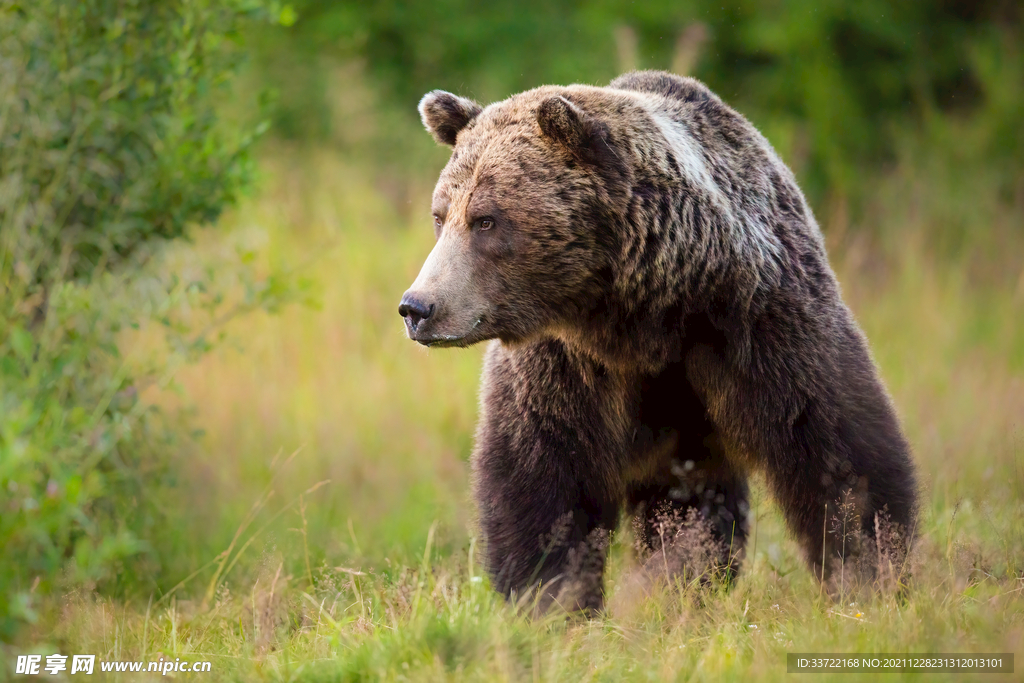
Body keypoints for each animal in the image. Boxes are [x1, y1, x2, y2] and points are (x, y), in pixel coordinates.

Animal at [395, 70, 917, 614]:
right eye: (440, 215)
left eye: (486, 220)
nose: (418, 306)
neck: (644, 314)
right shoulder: (566, 361)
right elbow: (542, 474)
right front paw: (550, 595)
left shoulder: (761, 322)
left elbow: (834, 448)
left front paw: (870, 569)